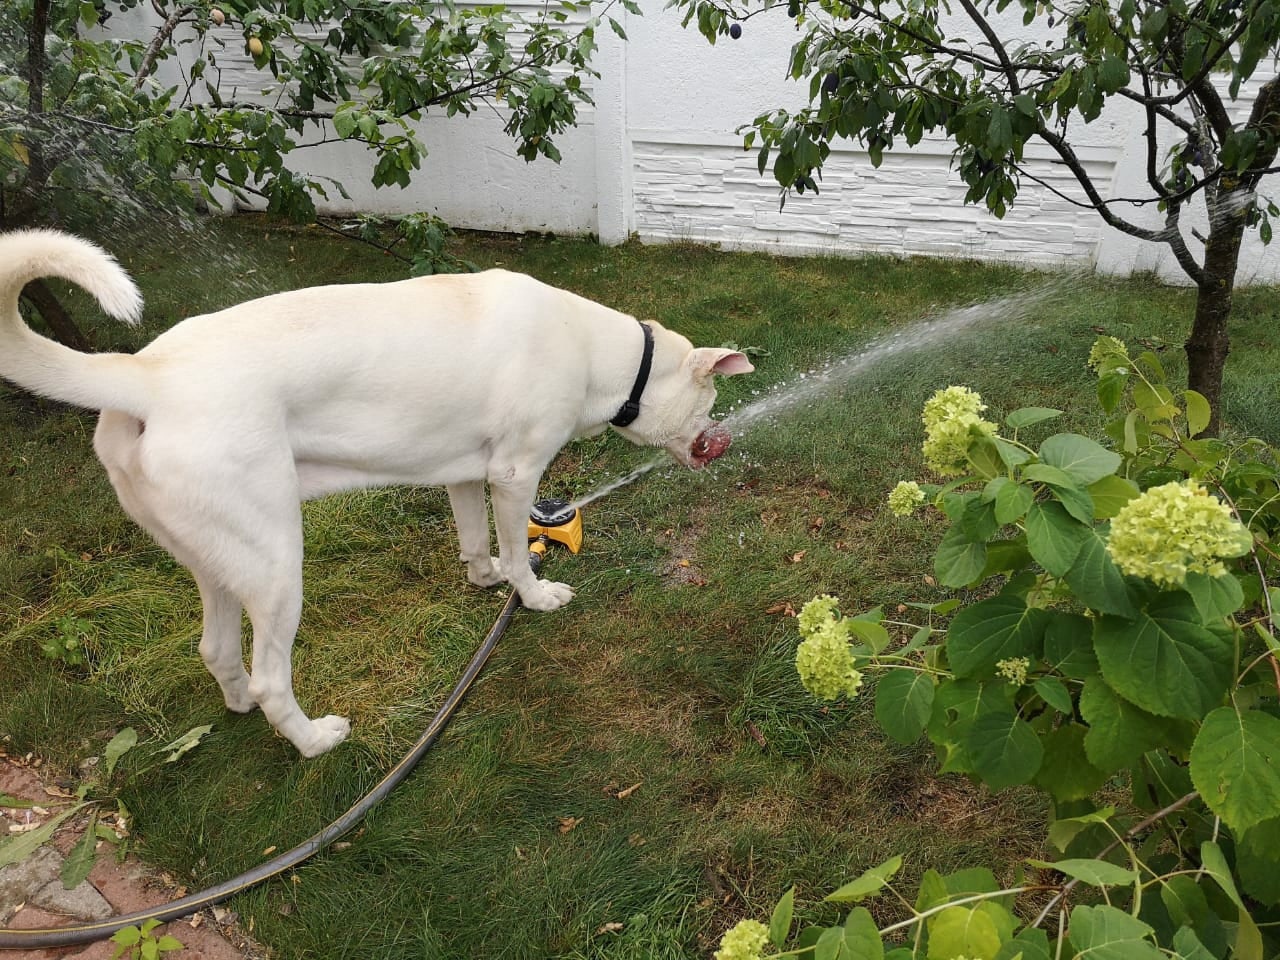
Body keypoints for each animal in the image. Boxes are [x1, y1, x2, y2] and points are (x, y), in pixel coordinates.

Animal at [0, 232, 747, 757]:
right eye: (710, 399)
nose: (722, 439)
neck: (599, 351)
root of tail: (146, 375)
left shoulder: (463, 472)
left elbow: (474, 538)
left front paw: (482, 578)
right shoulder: (513, 475)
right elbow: (514, 549)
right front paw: (533, 594)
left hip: (215, 559)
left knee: (215, 650)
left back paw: (240, 706)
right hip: (275, 561)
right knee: (272, 676)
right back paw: (314, 742)